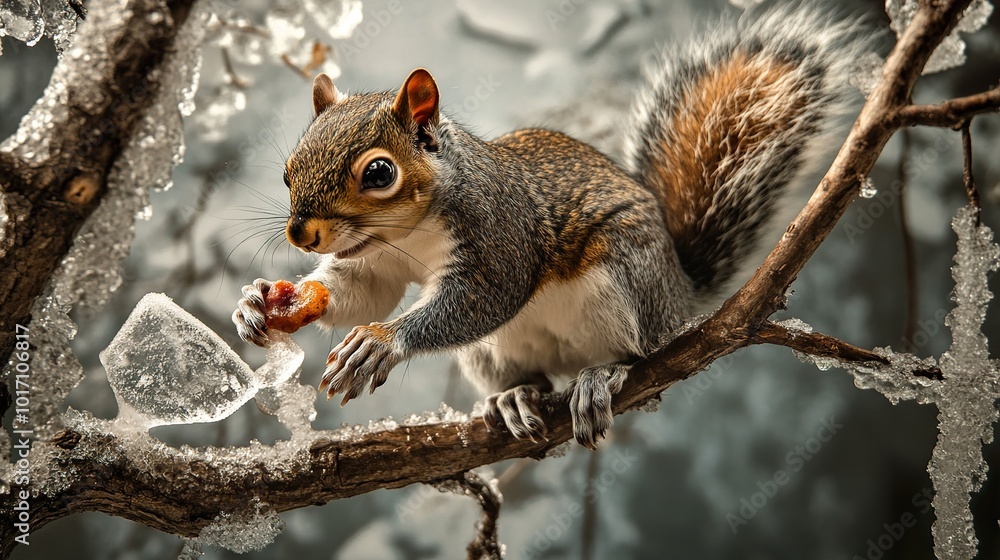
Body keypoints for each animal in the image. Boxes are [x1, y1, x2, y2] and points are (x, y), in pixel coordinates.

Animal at [233, 5, 868, 449]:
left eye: (380, 172)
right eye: (289, 170)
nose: (301, 236)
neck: (409, 233)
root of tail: (679, 295)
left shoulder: (501, 233)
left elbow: (484, 297)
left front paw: (382, 342)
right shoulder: (376, 259)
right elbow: (364, 290)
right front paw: (264, 301)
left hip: (623, 282)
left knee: (639, 356)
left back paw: (602, 376)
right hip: (492, 353)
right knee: (532, 377)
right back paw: (516, 397)